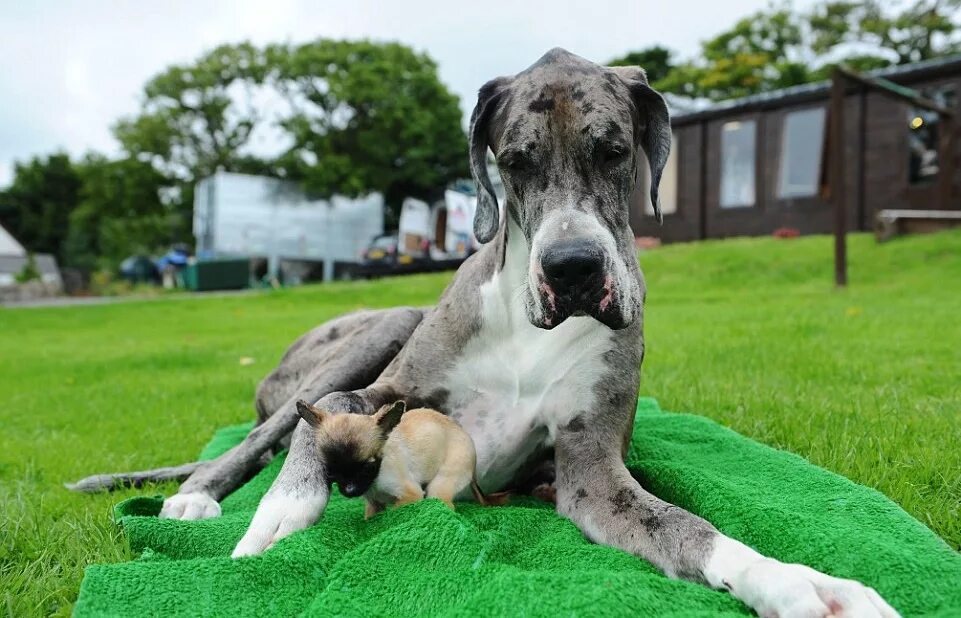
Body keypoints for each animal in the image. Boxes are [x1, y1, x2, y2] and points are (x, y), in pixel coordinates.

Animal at [296, 400, 506, 516]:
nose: (349, 490)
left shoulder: (410, 495)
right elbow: (371, 515)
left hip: (443, 482)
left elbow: (396, 510)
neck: (376, 479)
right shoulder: (374, 504)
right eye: (330, 472)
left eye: (367, 467)